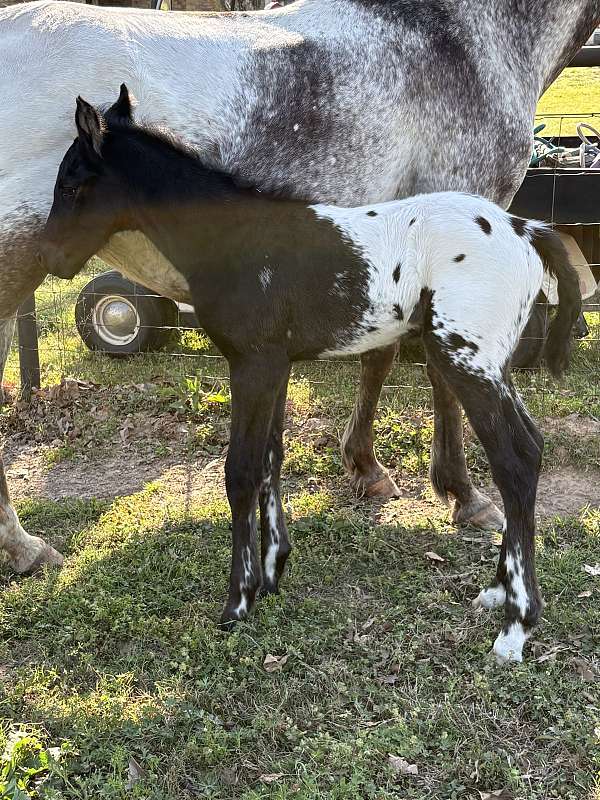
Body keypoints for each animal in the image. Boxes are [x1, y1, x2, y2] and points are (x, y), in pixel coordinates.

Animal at [0, 0, 598, 577]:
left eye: (72, 184)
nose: (55, 255)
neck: (462, 38)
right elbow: (431, 375)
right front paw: (463, 495)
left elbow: (378, 356)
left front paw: (367, 468)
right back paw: (26, 547)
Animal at [37, 89, 581, 662]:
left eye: (71, 183)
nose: (50, 258)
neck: (234, 238)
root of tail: (526, 230)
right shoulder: (274, 366)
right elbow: (271, 461)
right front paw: (272, 571)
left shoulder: (252, 366)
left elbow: (241, 472)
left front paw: (238, 601)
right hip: (491, 365)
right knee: (532, 450)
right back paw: (497, 590)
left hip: (468, 360)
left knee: (515, 460)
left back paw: (517, 625)